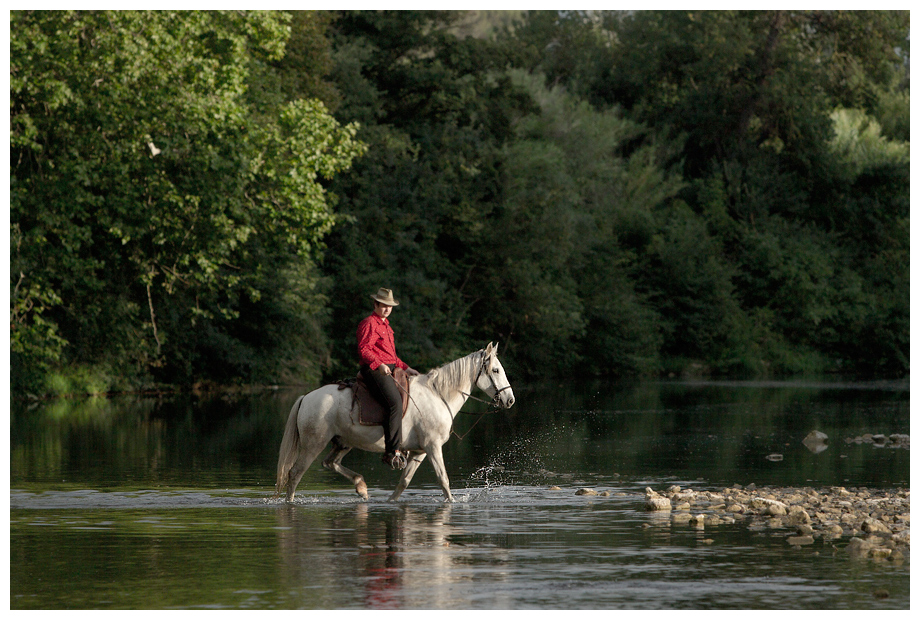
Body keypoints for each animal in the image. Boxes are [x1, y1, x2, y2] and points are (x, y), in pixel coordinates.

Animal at [276, 342, 512, 502]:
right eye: (496, 370)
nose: (510, 400)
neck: (438, 395)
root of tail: (306, 397)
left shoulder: (420, 451)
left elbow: (403, 483)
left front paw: (390, 502)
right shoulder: (433, 447)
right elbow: (443, 480)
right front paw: (452, 503)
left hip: (344, 442)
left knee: (330, 463)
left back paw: (361, 487)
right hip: (313, 445)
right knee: (295, 474)